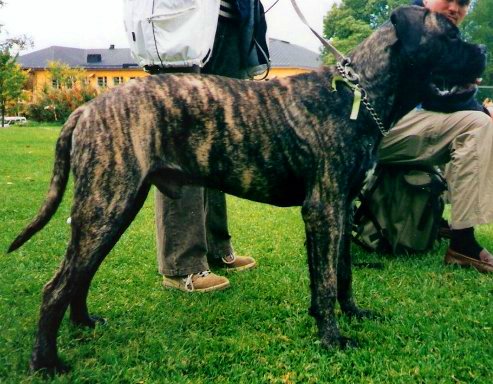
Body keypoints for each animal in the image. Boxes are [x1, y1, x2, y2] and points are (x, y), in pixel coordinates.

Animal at [7, 5, 484, 372]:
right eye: (451, 34)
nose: (481, 50)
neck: (357, 95)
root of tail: (86, 109)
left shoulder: (341, 207)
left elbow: (341, 274)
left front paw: (351, 315)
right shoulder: (324, 209)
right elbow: (327, 281)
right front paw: (333, 338)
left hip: (112, 210)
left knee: (80, 274)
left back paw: (83, 324)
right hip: (105, 207)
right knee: (56, 286)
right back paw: (46, 363)